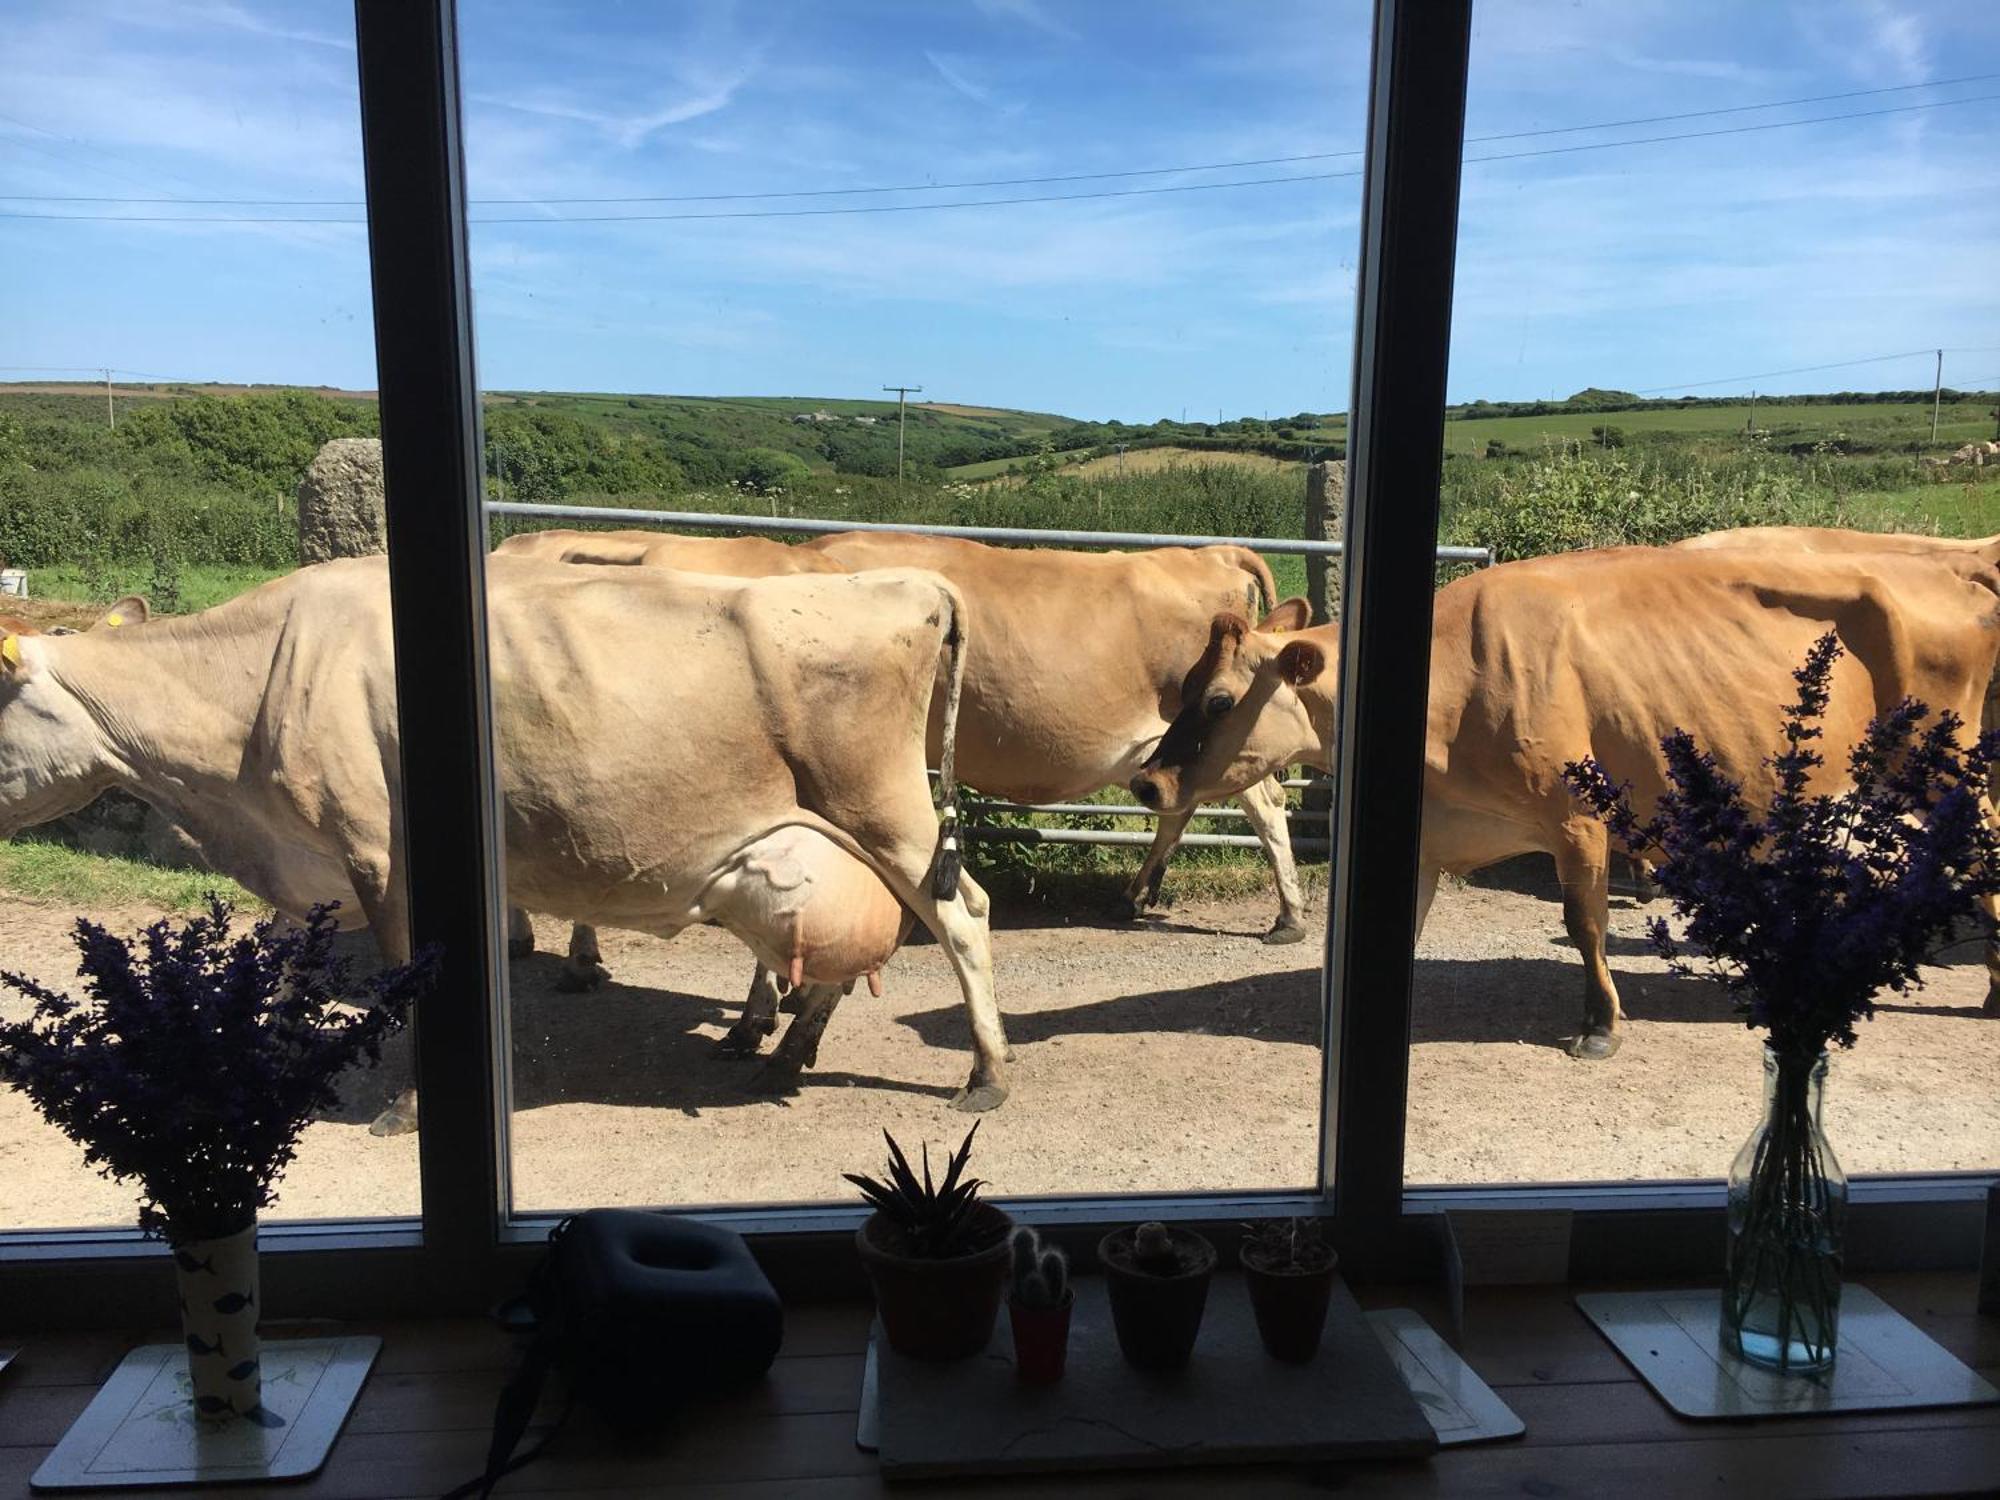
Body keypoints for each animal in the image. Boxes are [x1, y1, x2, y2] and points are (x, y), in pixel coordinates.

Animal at [0, 560, 1008, 1136]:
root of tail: (906, 578)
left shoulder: (378, 855)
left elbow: (404, 985)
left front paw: (405, 1110)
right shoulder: (309, 859)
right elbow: (284, 966)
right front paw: (267, 1063)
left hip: (882, 807)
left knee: (961, 916)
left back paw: (984, 1076)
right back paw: (783, 1046)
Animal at [1128, 548, 2000, 1056]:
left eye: (1217, 700)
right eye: (1187, 686)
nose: (1147, 783)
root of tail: (1951, 572)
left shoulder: (1579, 818)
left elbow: (1585, 925)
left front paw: (1600, 1026)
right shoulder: (1431, 833)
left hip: (1942, 769)